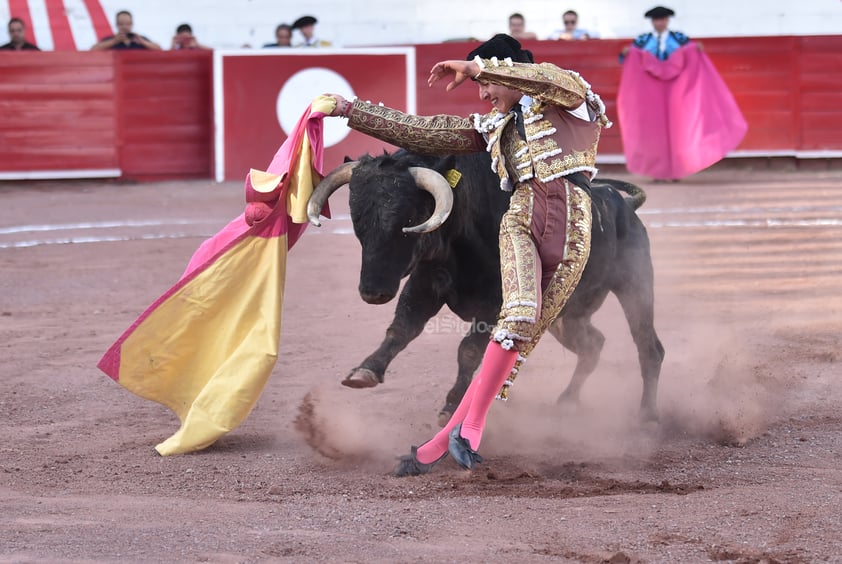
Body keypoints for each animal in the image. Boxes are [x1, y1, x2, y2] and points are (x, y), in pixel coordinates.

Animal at [308, 150, 664, 424]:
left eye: (408, 219)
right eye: (358, 219)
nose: (373, 291)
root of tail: (625, 207)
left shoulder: (498, 305)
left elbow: (468, 349)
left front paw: (452, 405)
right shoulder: (424, 285)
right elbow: (401, 328)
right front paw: (365, 370)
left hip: (635, 286)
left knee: (649, 348)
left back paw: (647, 416)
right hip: (565, 316)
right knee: (593, 345)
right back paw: (567, 401)